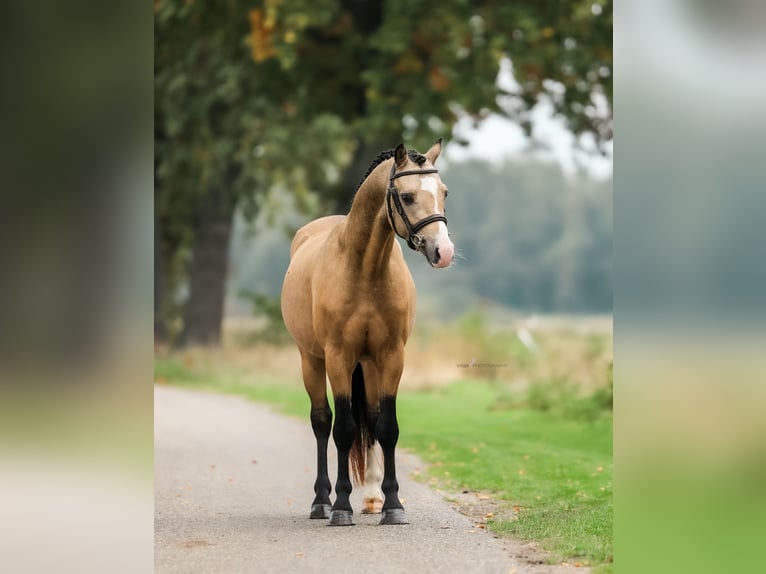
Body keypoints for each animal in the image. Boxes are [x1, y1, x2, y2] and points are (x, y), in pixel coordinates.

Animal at [280, 139, 454, 526]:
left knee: (372, 420)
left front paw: (393, 505)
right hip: (311, 360)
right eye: (406, 196)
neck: (363, 270)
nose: (444, 252)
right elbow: (343, 429)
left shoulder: (391, 356)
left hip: (370, 364)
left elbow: (387, 426)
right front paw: (341, 506)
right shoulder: (338, 357)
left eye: (444, 192)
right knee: (322, 422)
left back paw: (373, 496)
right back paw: (322, 502)